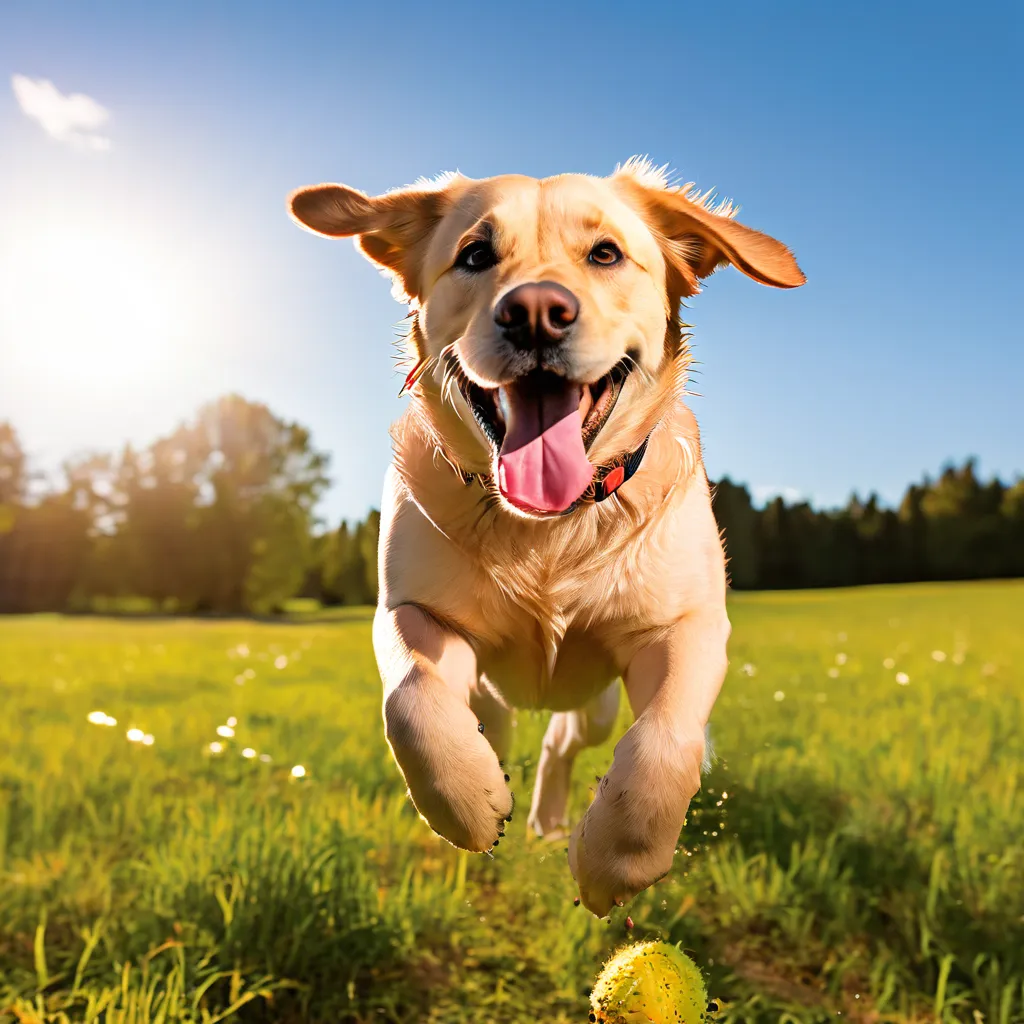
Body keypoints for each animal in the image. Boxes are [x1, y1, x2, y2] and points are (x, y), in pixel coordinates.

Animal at [284, 161, 802, 921]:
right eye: (475, 254)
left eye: (606, 253)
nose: (534, 311)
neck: (548, 525)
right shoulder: (413, 612)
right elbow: (410, 698)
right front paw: (468, 802)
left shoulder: (689, 626)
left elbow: (664, 741)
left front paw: (612, 860)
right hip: (494, 689)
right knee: (491, 720)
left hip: (598, 705)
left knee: (565, 738)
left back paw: (553, 819)